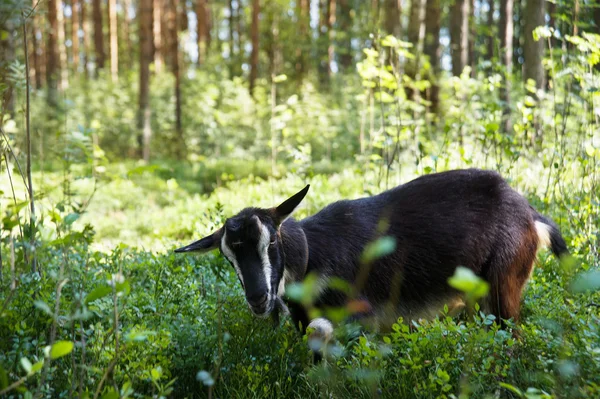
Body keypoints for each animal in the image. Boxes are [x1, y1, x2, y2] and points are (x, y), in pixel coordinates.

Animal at [173, 169, 568, 350]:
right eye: (228, 259)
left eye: (272, 244)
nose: (258, 299)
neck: (314, 256)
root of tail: (529, 212)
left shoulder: (365, 315)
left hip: (504, 280)